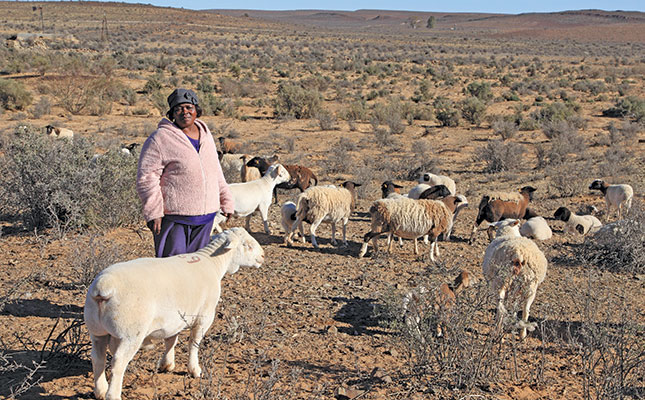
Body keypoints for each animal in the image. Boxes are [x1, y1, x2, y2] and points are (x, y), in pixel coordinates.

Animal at [83, 228, 264, 400]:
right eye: (247, 245)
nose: (262, 256)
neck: (213, 262)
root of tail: (103, 286)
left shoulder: (174, 319)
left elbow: (171, 340)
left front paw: (167, 364)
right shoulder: (204, 316)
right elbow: (194, 343)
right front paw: (194, 369)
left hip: (96, 330)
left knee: (97, 358)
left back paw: (100, 391)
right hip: (130, 333)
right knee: (118, 363)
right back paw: (112, 394)